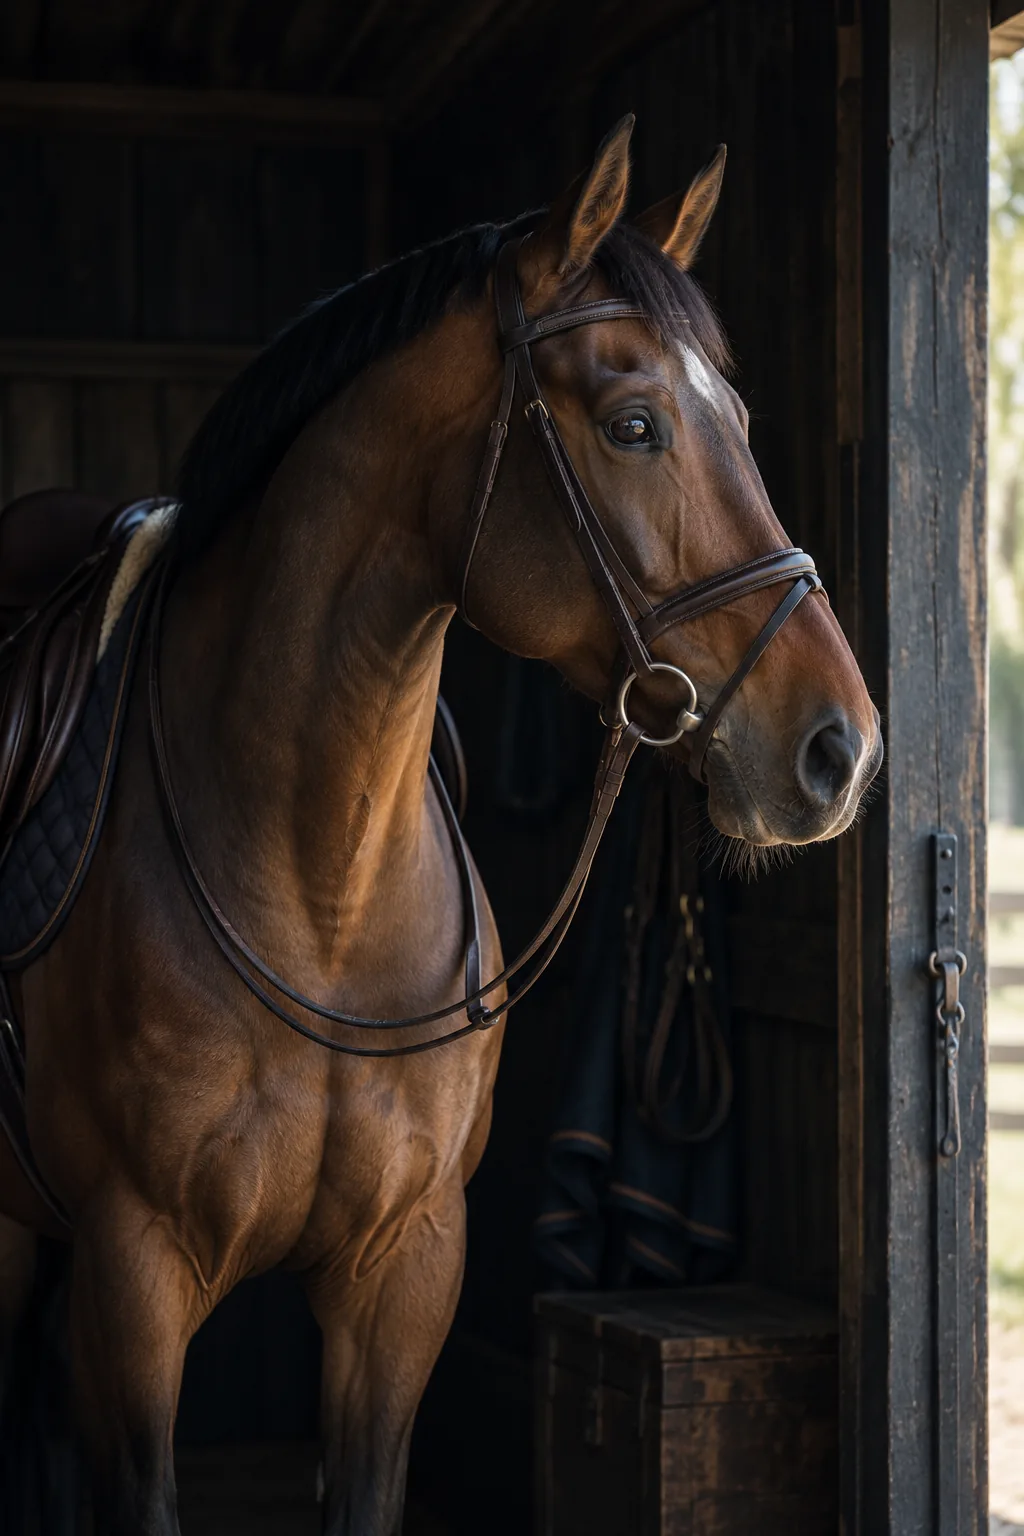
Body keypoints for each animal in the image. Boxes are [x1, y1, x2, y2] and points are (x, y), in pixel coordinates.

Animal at [0, 115, 881, 1535]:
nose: (839, 748)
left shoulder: (402, 1281)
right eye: (634, 423)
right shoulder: (132, 1286)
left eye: (739, 421)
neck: (319, 892)